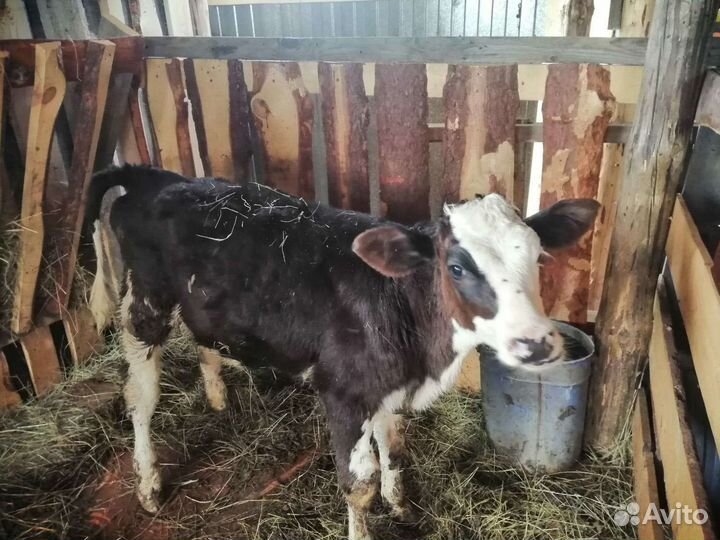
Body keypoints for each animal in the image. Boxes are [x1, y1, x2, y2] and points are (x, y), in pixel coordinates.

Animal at [86, 165, 599, 540]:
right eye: (455, 267)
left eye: (538, 258)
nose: (537, 343)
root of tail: (160, 177)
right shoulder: (344, 394)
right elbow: (359, 486)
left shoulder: (387, 385)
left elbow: (394, 449)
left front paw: (401, 506)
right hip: (145, 304)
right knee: (141, 398)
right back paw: (148, 485)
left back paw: (216, 399)